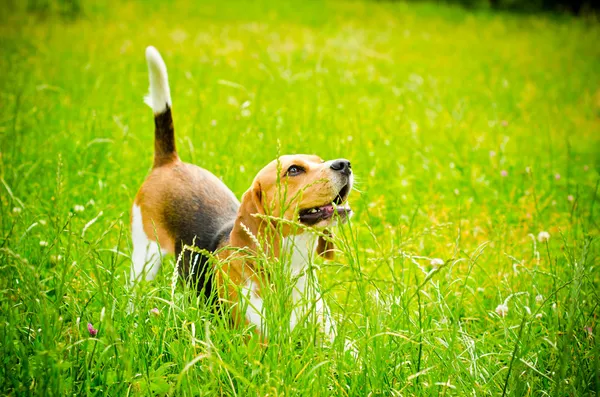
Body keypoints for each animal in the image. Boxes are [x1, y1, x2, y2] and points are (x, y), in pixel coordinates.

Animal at [132, 44, 352, 338]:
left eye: (320, 159)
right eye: (294, 170)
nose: (345, 164)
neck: (292, 265)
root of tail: (170, 162)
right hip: (145, 255)